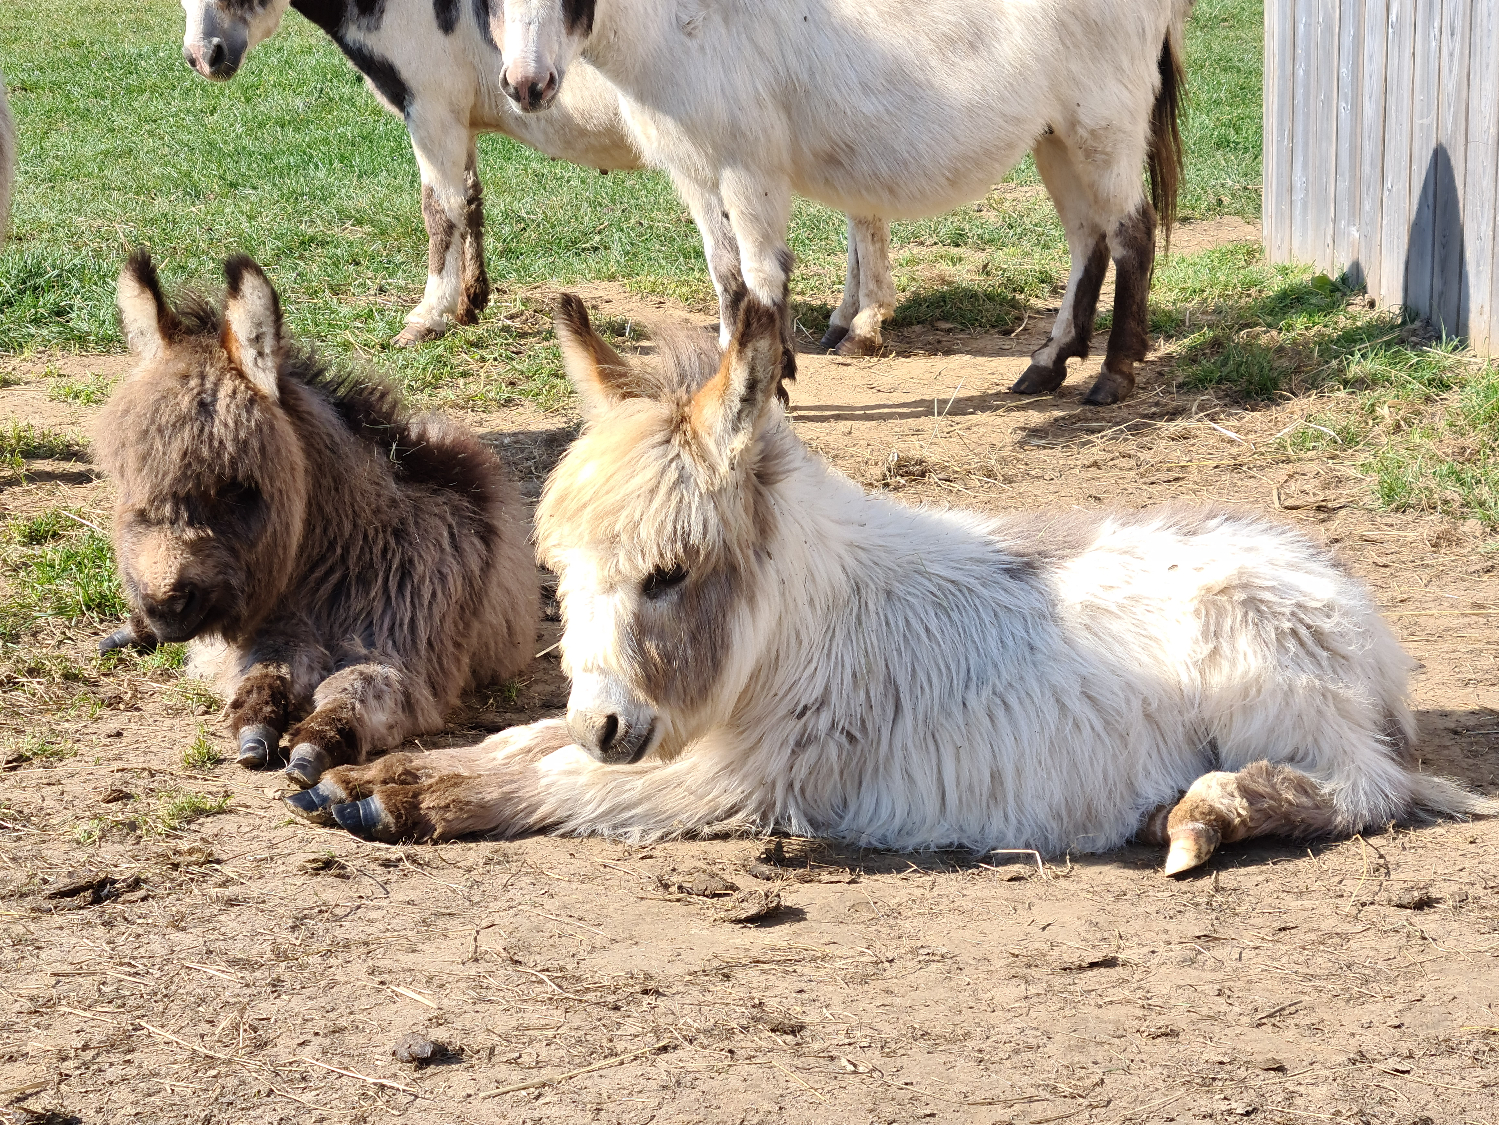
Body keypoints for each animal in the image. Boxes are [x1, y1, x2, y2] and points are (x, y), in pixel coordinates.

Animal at [96, 250, 538, 787]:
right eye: (128, 482)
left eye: (239, 488)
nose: (165, 607)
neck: (337, 562)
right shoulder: (280, 632)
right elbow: (266, 674)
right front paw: (257, 725)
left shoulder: (405, 653)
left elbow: (358, 689)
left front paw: (316, 744)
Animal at [178, 0, 896, 356]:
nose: (202, 58)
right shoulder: (459, 119)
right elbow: (469, 202)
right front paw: (469, 303)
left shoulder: (431, 109)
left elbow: (437, 209)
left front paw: (426, 318)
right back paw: (847, 321)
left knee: (864, 213)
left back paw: (861, 325)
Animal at [286, 294, 1492, 874]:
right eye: (558, 576)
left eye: (672, 574)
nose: (607, 720)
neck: (791, 632)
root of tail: (1360, 623)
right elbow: (520, 745)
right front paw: (358, 774)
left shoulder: (742, 784)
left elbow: (571, 789)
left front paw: (399, 799)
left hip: (1266, 684)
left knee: (1360, 792)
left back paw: (1202, 815)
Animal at [488, 0, 1192, 404]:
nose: (526, 86)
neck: (685, 23)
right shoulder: (695, 169)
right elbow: (726, 279)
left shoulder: (748, 166)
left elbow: (761, 277)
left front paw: (769, 383)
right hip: (1057, 136)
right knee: (1086, 239)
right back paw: (1049, 365)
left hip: (1103, 124)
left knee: (1131, 233)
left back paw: (1113, 378)